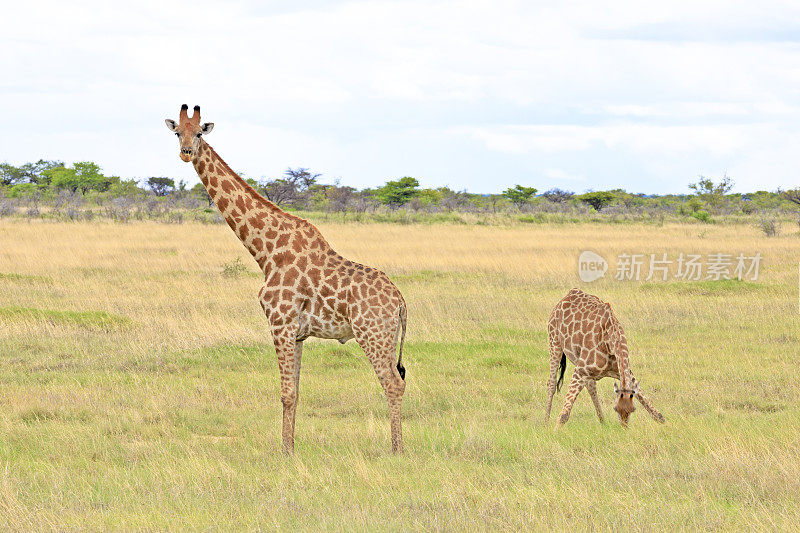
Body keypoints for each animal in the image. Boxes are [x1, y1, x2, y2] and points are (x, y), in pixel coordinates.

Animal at [166, 105, 410, 454]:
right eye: (177, 133)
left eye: (199, 133)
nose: (186, 152)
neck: (267, 252)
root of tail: (401, 302)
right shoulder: (297, 334)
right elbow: (295, 392)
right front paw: (291, 446)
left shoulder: (279, 324)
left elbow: (285, 393)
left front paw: (285, 453)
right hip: (387, 338)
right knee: (399, 380)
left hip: (373, 334)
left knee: (392, 384)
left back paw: (397, 450)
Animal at [544, 288, 668, 426]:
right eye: (615, 408)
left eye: (633, 409)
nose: (623, 427)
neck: (609, 342)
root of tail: (568, 295)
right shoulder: (579, 371)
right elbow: (563, 415)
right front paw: (554, 430)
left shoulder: (621, 370)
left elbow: (653, 410)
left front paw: (663, 422)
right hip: (554, 342)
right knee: (552, 382)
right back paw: (545, 422)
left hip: (577, 358)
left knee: (591, 386)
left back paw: (602, 421)